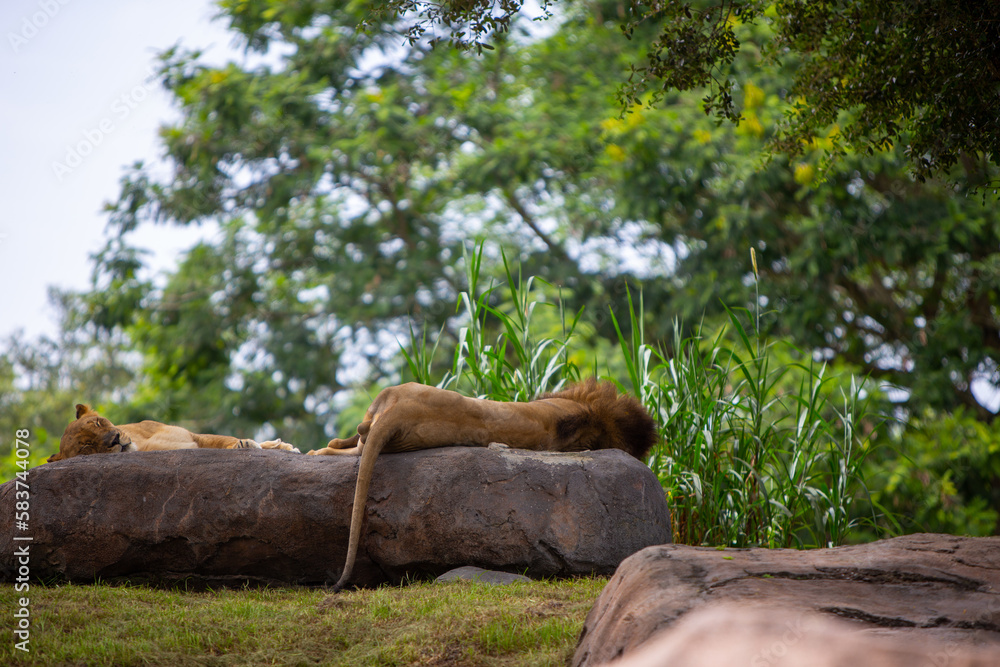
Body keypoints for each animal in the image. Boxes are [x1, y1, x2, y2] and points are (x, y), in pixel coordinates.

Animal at [307, 378, 658, 592]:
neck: (589, 415)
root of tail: (404, 411)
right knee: (354, 438)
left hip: (387, 419)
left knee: (351, 445)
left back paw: (316, 451)